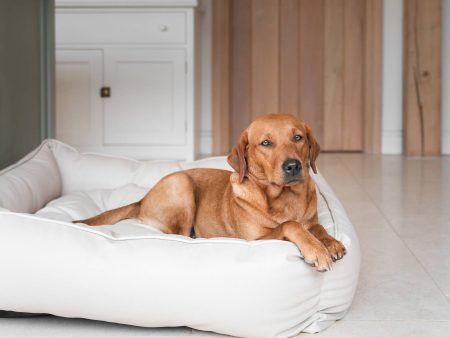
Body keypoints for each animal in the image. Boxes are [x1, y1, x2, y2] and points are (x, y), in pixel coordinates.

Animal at [75, 113, 346, 272]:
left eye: (298, 137)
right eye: (266, 143)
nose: (292, 166)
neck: (285, 197)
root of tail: (142, 199)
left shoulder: (311, 220)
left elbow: (317, 228)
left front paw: (330, 242)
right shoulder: (255, 240)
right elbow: (292, 225)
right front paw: (316, 250)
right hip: (182, 184)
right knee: (180, 236)